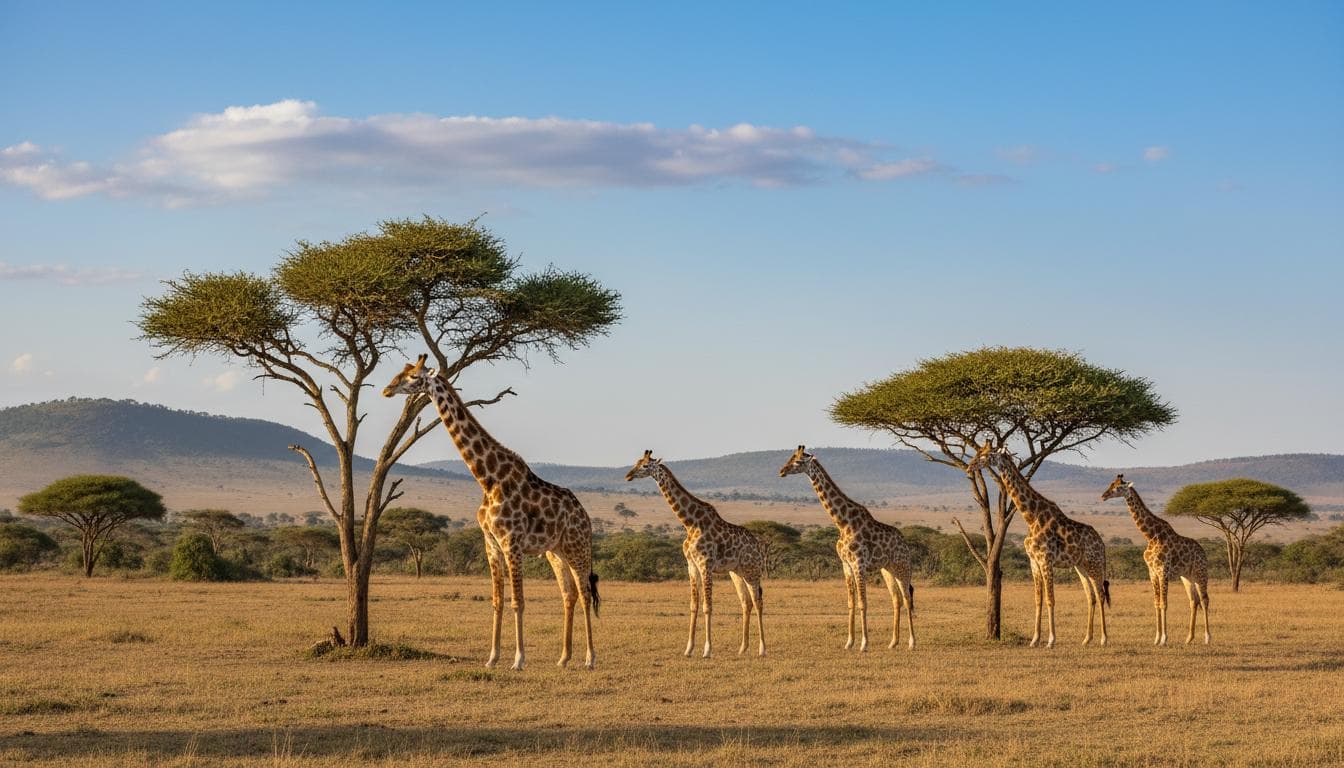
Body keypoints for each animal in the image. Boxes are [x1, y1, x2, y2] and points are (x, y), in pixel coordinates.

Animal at [382, 354, 599, 670]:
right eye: (401, 371)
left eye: (413, 377)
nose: (387, 389)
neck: (487, 478)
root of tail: (586, 517)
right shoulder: (491, 544)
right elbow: (497, 601)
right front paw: (492, 658)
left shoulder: (512, 543)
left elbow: (517, 601)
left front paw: (518, 660)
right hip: (555, 551)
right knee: (568, 594)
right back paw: (563, 658)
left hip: (577, 547)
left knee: (584, 595)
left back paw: (590, 658)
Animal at [626, 450, 767, 658]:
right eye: (636, 462)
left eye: (644, 465)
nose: (628, 475)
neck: (690, 523)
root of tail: (757, 545)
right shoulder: (691, 565)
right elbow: (694, 606)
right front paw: (689, 649)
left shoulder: (705, 564)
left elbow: (707, 607)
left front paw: (707, 650)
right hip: (736, 572)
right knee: (746, 602)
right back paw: (742, 648)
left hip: (752, 570)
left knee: (758, 602)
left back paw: (762, 649)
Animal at [779, 446, 915, 651]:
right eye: (790, 457)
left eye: (798, 461)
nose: (781, 471)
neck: (843, 523)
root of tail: (905, 544)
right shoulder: (846, 565)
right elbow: (851, 602)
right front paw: (849, 642)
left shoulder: (859, 563)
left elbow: (863, 603)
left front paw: (864, 644)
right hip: (887, 569)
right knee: (896, 599)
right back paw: (893, 642)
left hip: (902, 566)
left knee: (907, 598)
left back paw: (912, 642)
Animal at [967, 442, 1109, 648]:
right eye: (978, 452)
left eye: (985, 455)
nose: (969, 467)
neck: (1031, 517)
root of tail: (1102, 543)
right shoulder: (1033, 561)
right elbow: (1038, 600)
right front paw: (1035, 639)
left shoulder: (1046, 560)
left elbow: (1050, 599)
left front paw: (1051, 640)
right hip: (1080, 565)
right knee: (1090, 596)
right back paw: (1086, 639)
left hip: (1094, 563)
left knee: (1100, 594)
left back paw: (1104, 639)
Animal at [1103, 474, 1211, 645]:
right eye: (1111, 484)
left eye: (1118, 487)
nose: (1103, 496)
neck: (1150, 536)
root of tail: (1203, 552)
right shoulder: (1152, 572)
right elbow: (1156, 603)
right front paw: (1157, 638)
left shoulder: (1163, 571)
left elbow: (1164, 604)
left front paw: (1164, 639)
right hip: (1187, 577)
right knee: (1194, 601)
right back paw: (1188, 638)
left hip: (1201, 573)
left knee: (1205, 600)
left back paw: (1207, 638)